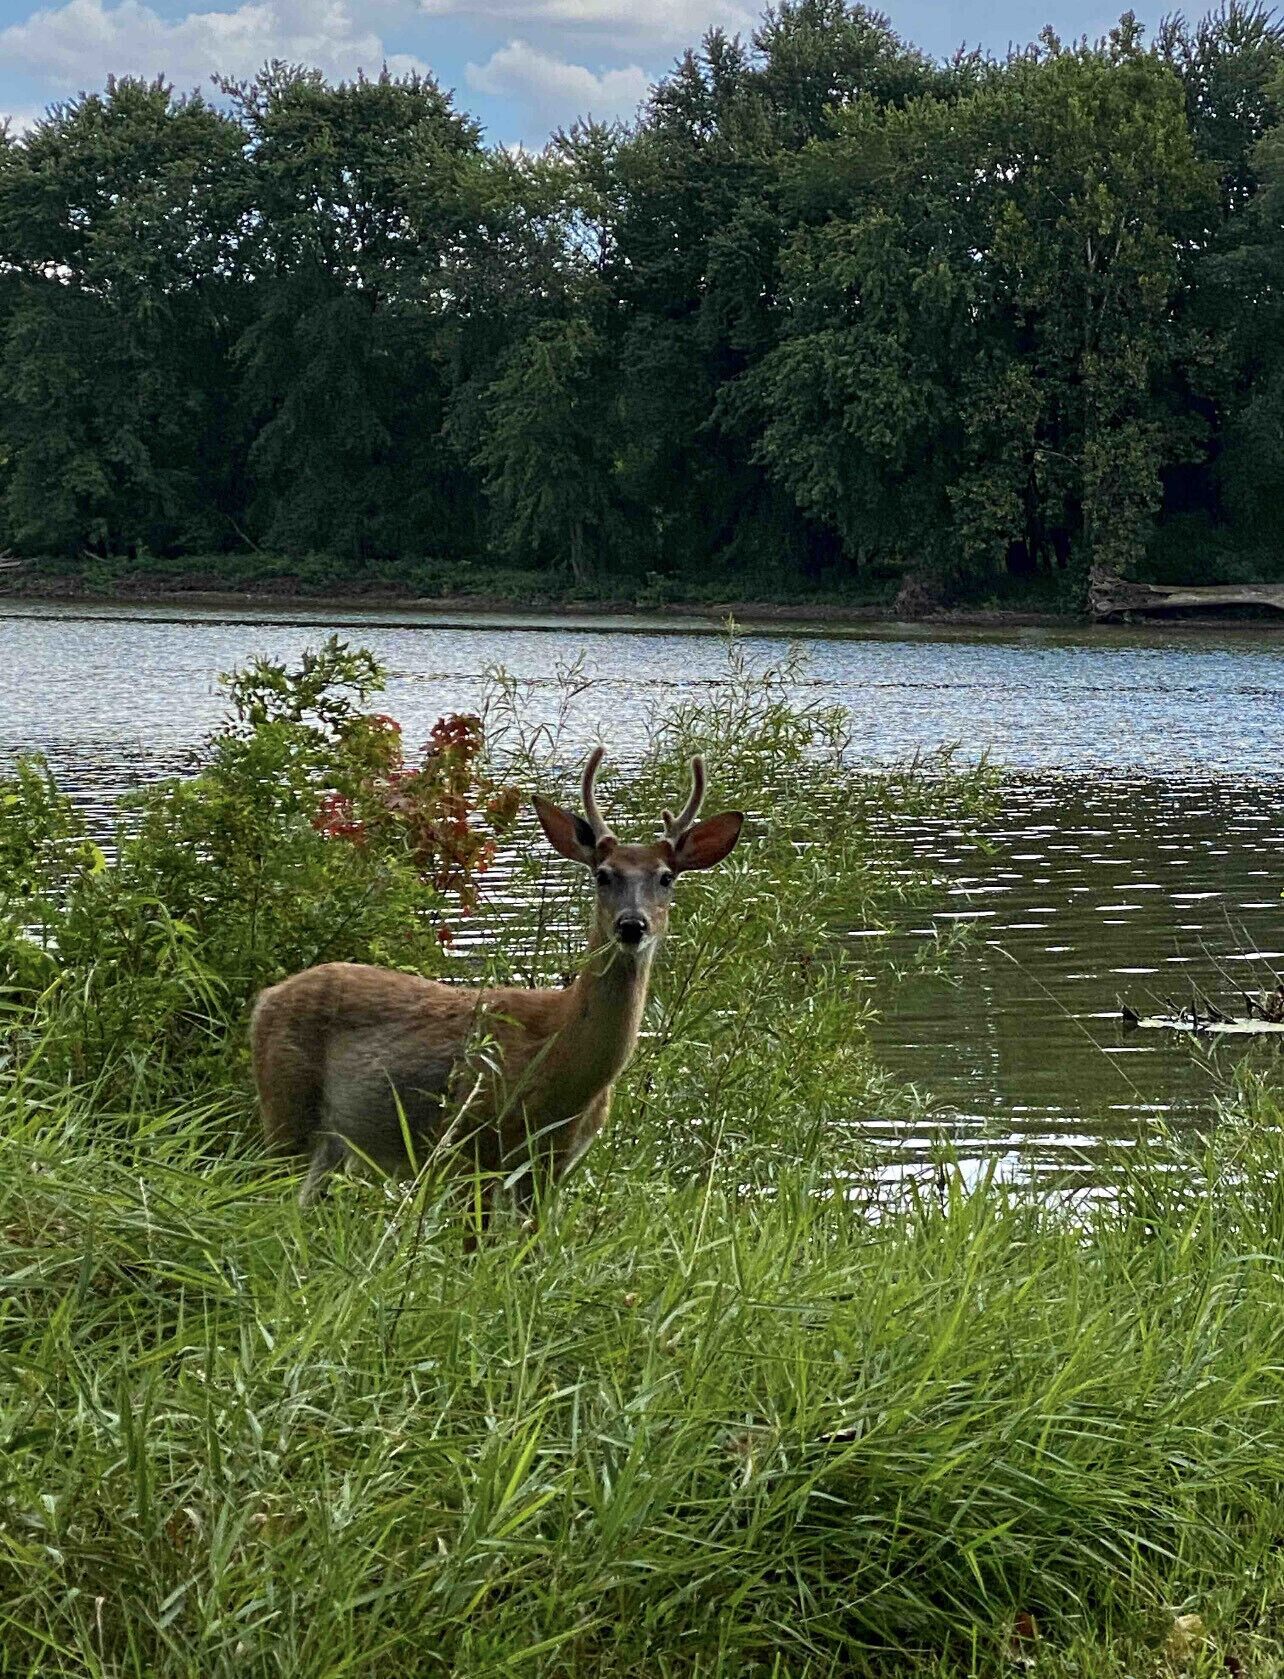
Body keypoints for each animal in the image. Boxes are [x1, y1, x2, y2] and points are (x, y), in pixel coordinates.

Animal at [250, 748, 744, 1218]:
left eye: (666, 877)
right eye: (603, 874)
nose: (632, 925)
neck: (564, 1064)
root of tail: (264, 1000)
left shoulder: (552, 1166)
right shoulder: (474, 1142)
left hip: (333, 1141)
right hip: (286, 1105)